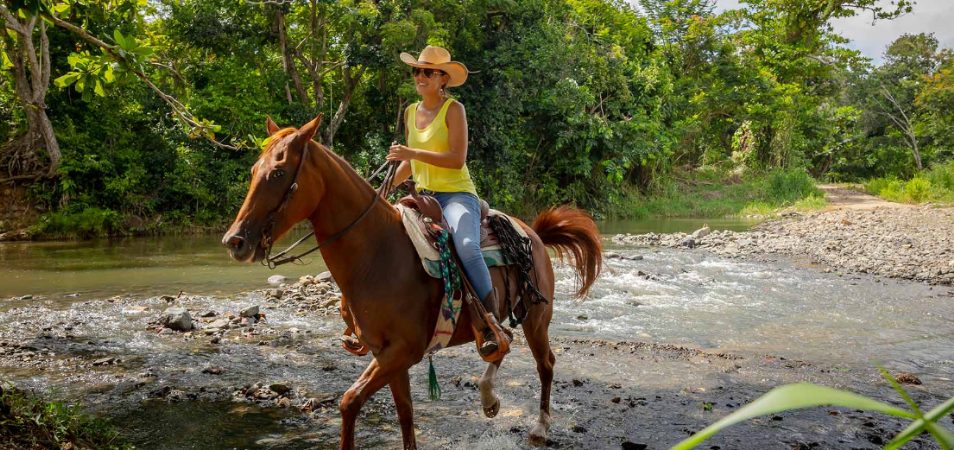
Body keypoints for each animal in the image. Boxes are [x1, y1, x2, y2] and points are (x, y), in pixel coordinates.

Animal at [221, 117, 604, 450]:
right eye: (254, 171)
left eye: (278, 172)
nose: (234, 241)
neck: (377, 254)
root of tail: (532, 234)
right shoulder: (388, 354)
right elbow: (404, 414)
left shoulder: (404, 351)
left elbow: (349, 401)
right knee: (502, 345)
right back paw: (489, 397)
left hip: (536, 318)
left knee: (543, 363)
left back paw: (538, 426)